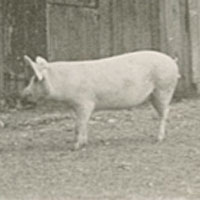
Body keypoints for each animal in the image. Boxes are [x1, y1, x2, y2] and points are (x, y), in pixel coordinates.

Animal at [21, 50, 180, 149]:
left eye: (35, 79)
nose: (23, 93)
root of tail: (172, 61)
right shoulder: (78, 106)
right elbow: (82, 124)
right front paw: (82, 143)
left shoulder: (85, 102)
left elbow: (79, 125)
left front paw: (74, 147)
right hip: (156, 93)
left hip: (163, 89)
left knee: (165, 112)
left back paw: (158, 139)